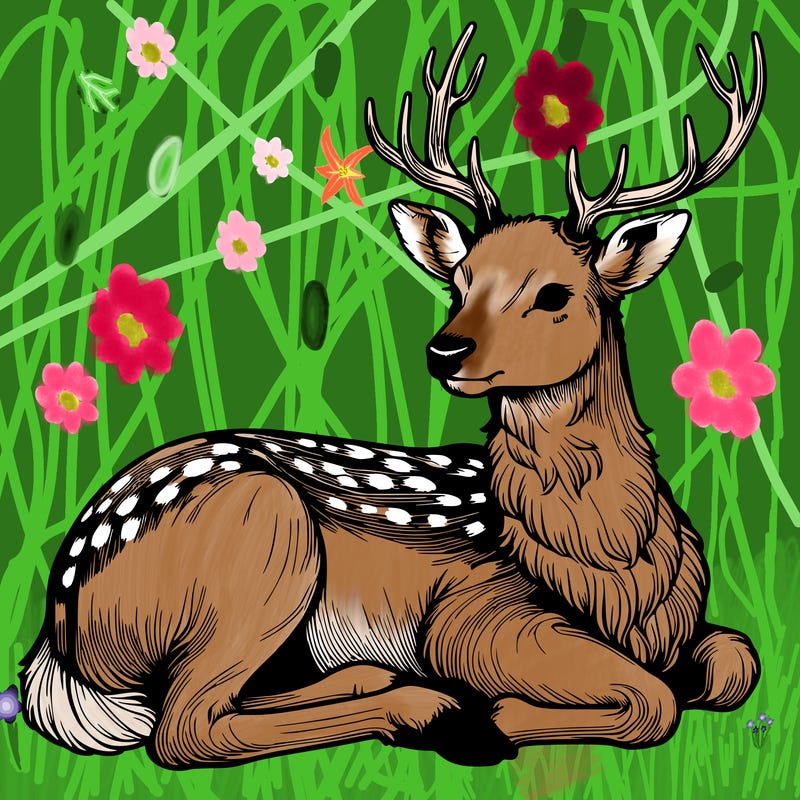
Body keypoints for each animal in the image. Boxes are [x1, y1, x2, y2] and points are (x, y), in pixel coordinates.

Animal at [21, 23, 765, 769]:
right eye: (460, 281)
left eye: (555, 293)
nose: (445, 350)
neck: (615, 570)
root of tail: (58, 625)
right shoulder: (475, 613)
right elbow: (654, 699)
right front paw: (496, 716)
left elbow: (737, 660)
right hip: (263, 539)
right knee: (183, 727)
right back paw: (435, 711)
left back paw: (380, 679)